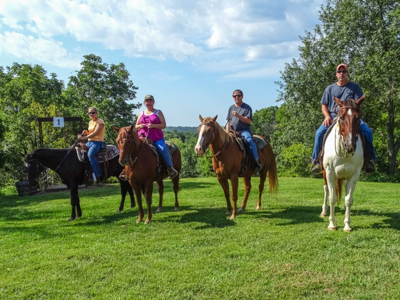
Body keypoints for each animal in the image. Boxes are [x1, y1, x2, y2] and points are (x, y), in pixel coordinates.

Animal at [322, 95, 366, 231]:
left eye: (358, 118)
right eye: (341, 117)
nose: (350, 146)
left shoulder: (354, 175)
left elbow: (349, 199)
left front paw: (347, 225)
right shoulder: (330, 173)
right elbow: (332, 198)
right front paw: (332, 224)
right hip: (325, 174)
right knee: (326, 190)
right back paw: (324, 211)